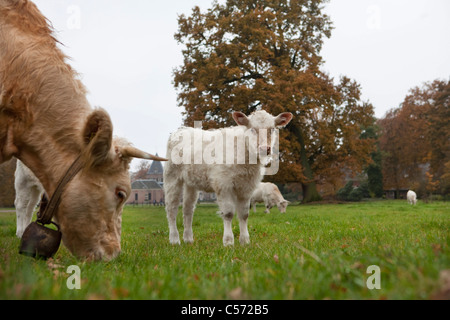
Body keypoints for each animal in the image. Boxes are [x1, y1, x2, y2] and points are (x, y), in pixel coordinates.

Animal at [163, 109, 294, 246]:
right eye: (252, 129)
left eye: (272, 129)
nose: (264, 148)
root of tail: (181, 130)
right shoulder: (223, 184)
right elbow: (228, 213)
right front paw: (228, 241)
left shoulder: (247, 188)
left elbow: (244, 214)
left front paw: (245, 240)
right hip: (172, 177)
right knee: (171, 208)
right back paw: (174, 239)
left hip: (191, 183)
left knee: (188, 209)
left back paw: (188, 239)